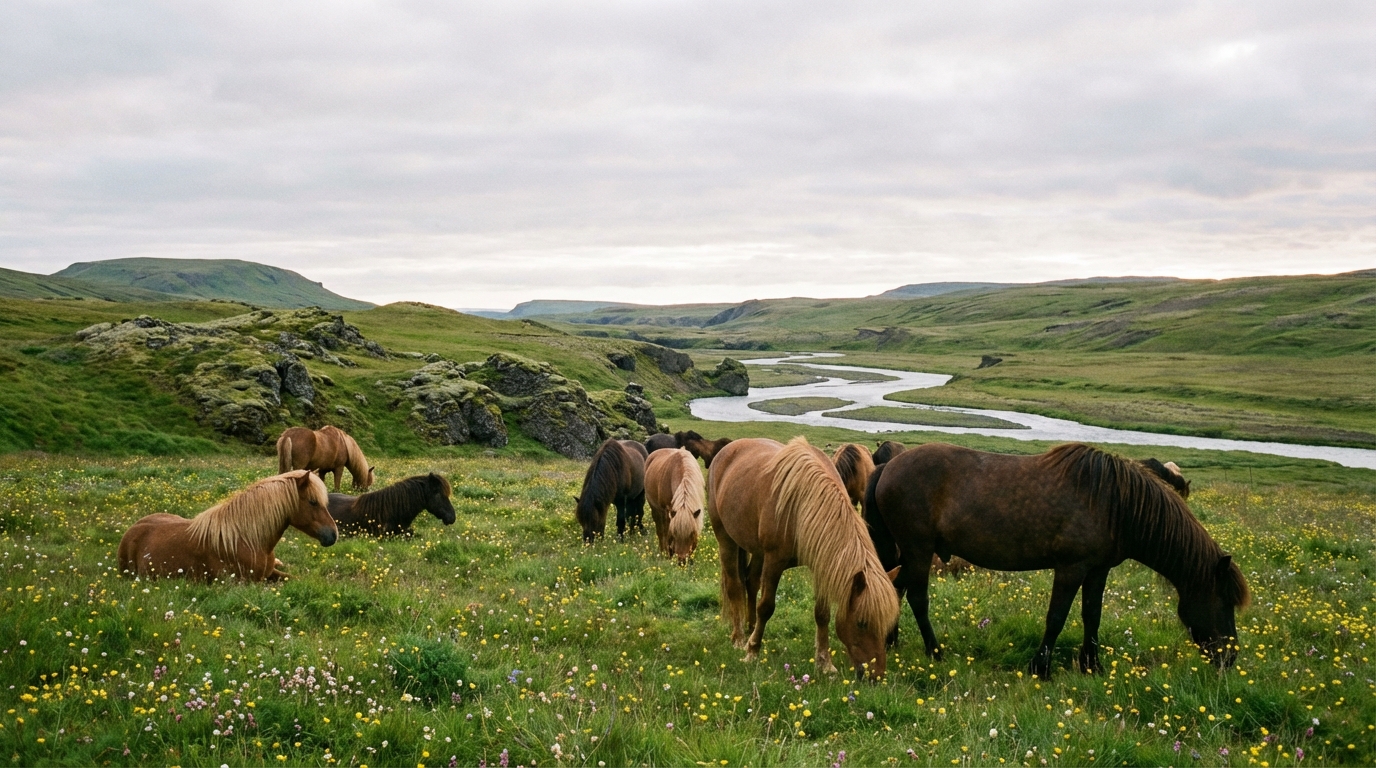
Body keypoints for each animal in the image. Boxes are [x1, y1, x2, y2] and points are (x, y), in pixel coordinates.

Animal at [708, 437, 900, 680]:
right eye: (862, 623)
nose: (876, 676)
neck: (803, 503)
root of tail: (727, 449)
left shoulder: (821, 564)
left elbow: (822, 614)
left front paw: (824, 662)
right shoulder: (774, 561)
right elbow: (766, 607)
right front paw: (752, 652)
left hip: (757, 550)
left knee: (751, 583)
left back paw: (751, 628)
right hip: (725, 537)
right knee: (735, 586)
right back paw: (740, 638)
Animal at [866, 442, 1248, 679]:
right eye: (1224, 602)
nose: (1230, 658)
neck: (1113, 503)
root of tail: (886, 467)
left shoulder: (1098, 570)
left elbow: (1091, 616)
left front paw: (1092, 666)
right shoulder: (1070, 569)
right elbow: (1057, 618)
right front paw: (1041, 668)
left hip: (913, 554)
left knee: (896, 586)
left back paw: (890, 640)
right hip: (919, 551)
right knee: (917, 596)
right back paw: (934, 652)